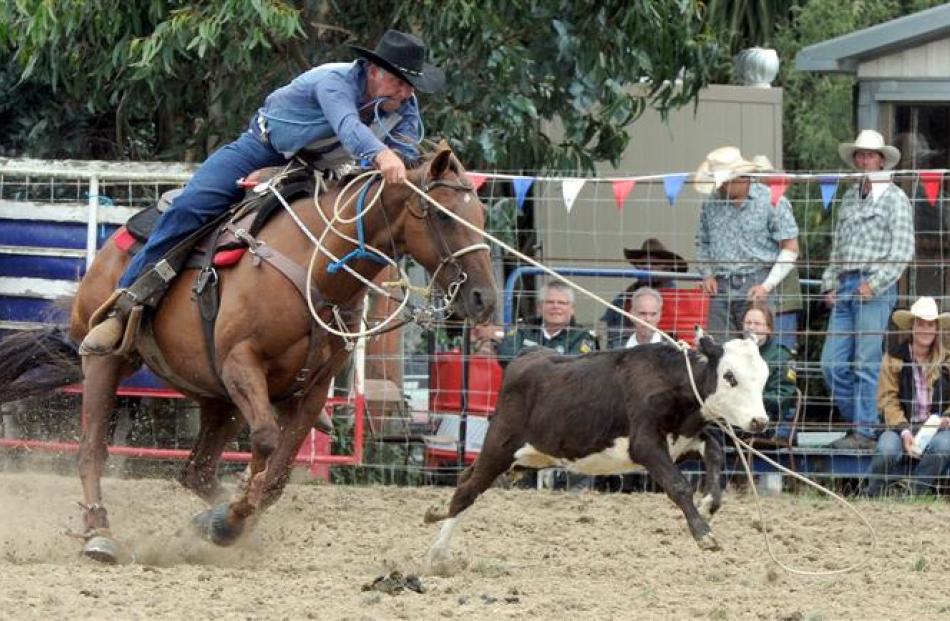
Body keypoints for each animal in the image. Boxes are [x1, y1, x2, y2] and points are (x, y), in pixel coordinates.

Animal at [1, 145, 498, 560]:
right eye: (443, 216)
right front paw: (230, 520)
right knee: (91, 452)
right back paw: (99, 534)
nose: (483, 299)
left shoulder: (312, 389)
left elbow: (275, 476)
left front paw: (225, 520)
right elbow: (265, 442)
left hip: (218, 398)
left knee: (197, 471)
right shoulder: (242, 362)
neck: (317, 261)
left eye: (481, 216)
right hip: (107, 362)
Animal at [428, 334, 768, 560]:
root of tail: (528, 354)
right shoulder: (645, 445)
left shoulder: (683, 440)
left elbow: (715, 450)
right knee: (467, 489)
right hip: (500, 445)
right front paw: (704, 534)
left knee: (467, 479)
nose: (759, 421)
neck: (673, 381)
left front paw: (710, 502)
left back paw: (436, 529)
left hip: (525, 455)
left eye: (764, 376)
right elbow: (678, 485)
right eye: (730, 376)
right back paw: (436, 554)